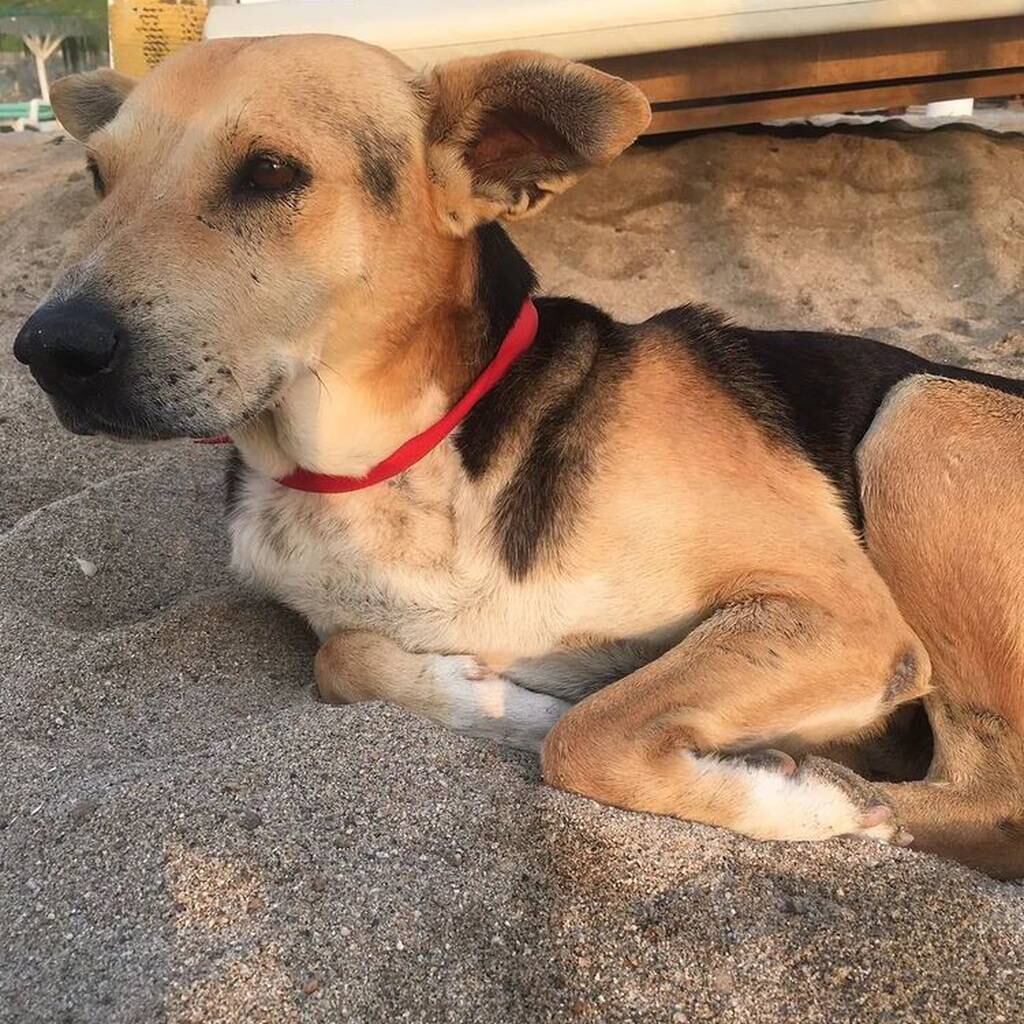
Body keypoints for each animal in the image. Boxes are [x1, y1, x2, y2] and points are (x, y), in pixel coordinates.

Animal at [14, 36, 1024, 876]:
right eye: (97, 176)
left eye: (268, 172)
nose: (47, 349)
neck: (395, 469)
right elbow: (346, 659)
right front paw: (501, 699)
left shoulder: (842, 613)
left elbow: (587, 735)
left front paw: (804, 804)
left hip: (918, 415)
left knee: (992, 802)